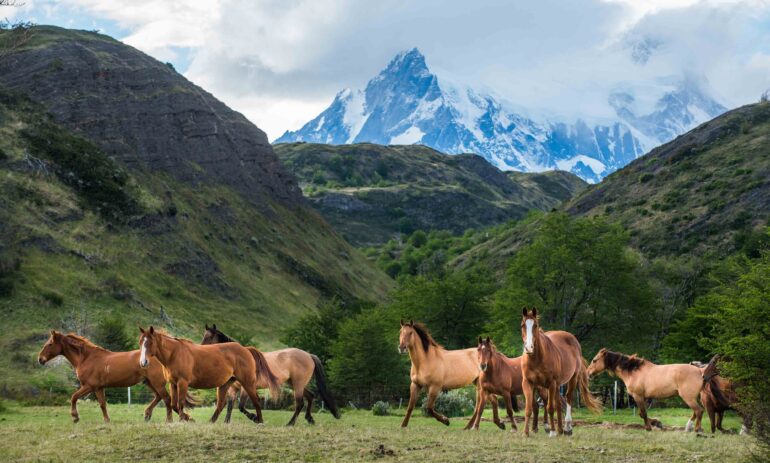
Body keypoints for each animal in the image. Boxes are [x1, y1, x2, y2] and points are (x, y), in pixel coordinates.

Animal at [36, 330, 181, 424]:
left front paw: (75, 417)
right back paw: (147, 415)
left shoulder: (90, 386)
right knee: (158, 397)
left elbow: (74, 397)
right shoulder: (99, 388)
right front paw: (107, 420)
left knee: (166, 399)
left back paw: (168, 420)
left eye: (49, 344)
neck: (86, 358)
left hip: (156, 383)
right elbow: (102, 404)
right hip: (149, 382)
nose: (40, 359)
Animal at [140, 326, 280, 424]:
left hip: (247, 382)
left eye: (150, 343)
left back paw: (258, 420)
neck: (175, 353)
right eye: (141, 342)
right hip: (225, 384)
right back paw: (212, 421)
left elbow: (180, 404)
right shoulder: (173, 384)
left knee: (256, 400)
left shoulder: (183, 383)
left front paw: (184, 420)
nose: (143, 362)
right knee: (221, 404)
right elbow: (174, 405)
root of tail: (245, 349)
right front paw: (189, 418)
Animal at [201, 324, 340, 426]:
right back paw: (309, 419)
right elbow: (230, 406)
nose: (200, 349)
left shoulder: (246, 387)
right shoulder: (233, 388)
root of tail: (309, 355)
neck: (237, 358)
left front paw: (255, 418)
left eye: (209, 337)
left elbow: (241, 406)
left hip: (297, 385)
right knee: (310, 396)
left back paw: (290, 423)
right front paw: (226, 422)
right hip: (293, 384)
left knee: (300, 403)